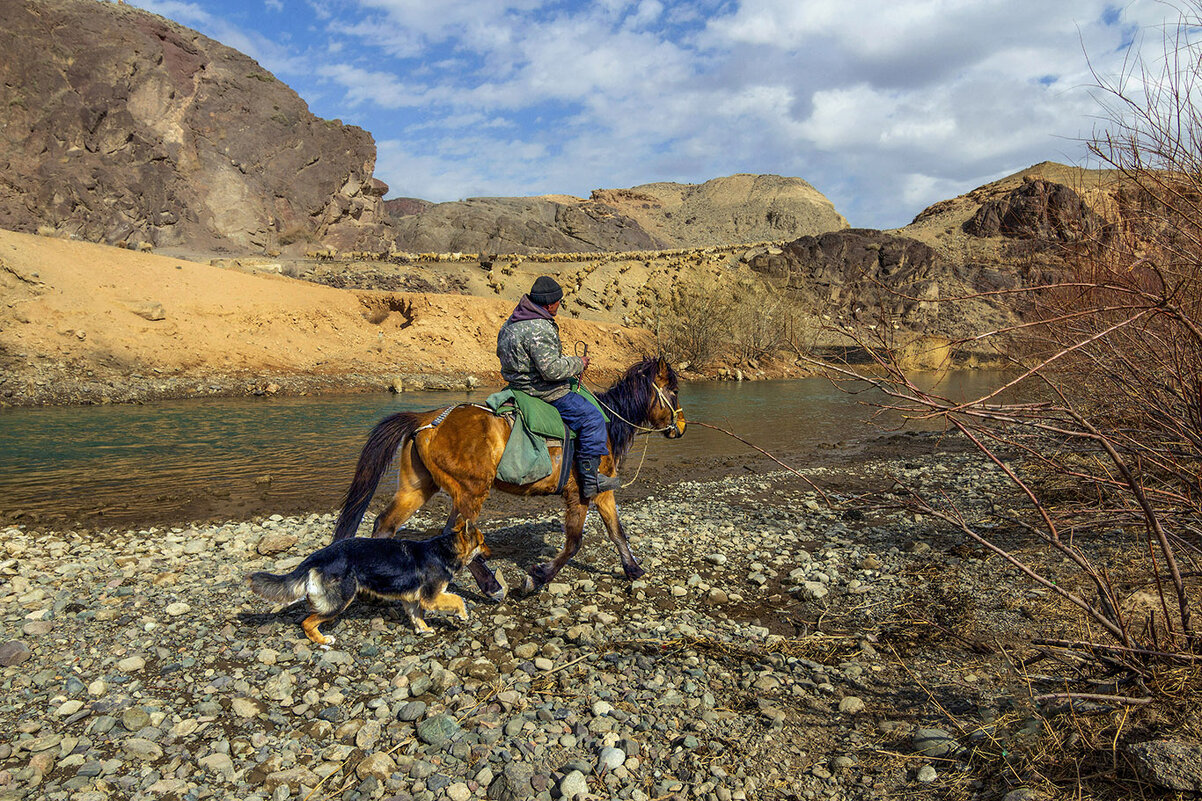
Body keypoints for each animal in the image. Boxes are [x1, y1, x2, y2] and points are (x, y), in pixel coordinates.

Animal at [248, 517, 488, 644]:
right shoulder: (431, 597)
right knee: (308, 622)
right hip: (341, 600)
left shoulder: (412, 599)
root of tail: (318, 556)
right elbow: (457, 599)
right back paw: (323, 641)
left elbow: (417, 615)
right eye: (483, 542)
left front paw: (423, 629)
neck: (445, 550)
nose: (491, 551)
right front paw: (463, 614)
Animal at [331, 356, 687, 591]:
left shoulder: (602, 490)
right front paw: (536, 578)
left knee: (385, 525)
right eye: (673, 390)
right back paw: (491, 585)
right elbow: (574, 543)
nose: (681, 427)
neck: (607, 423)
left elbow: (616, 532)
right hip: (471, 491)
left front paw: (634, 569)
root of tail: (427, 419)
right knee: (458, 533)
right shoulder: (580, 494)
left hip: (418, 487)